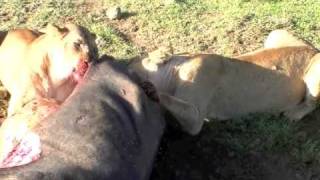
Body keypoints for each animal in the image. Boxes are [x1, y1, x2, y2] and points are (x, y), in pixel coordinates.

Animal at [129, 30, 320, 135]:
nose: (127, 63)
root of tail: (313, 49)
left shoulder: (196, 119)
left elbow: (172, 100)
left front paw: (151, 89)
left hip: (316, 72)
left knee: (312, 103)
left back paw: (293, 113)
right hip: (276, 33)